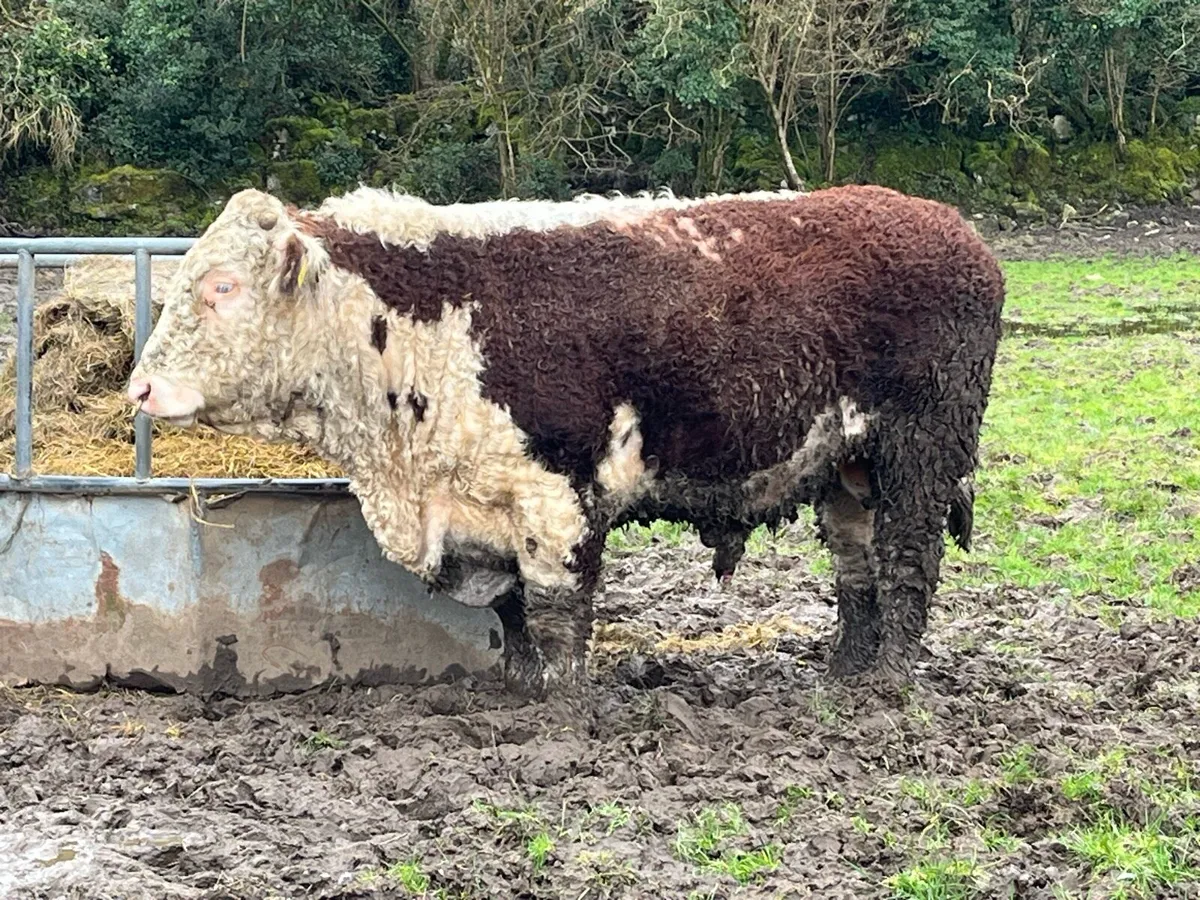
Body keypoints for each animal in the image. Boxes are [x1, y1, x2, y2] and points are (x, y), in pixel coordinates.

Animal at [127, 183, 1005, 700]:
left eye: (223, 287)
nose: (138, 387)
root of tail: (953, 228)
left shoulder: (556, 490)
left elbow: (557, 604)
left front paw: (563, 709)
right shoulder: (483, 502)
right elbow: (513, 604)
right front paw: (521, 686)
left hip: (921, 450)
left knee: (907, 563)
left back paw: (887, 687)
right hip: (848, 465)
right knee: (859, 567)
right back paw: (843, 673)